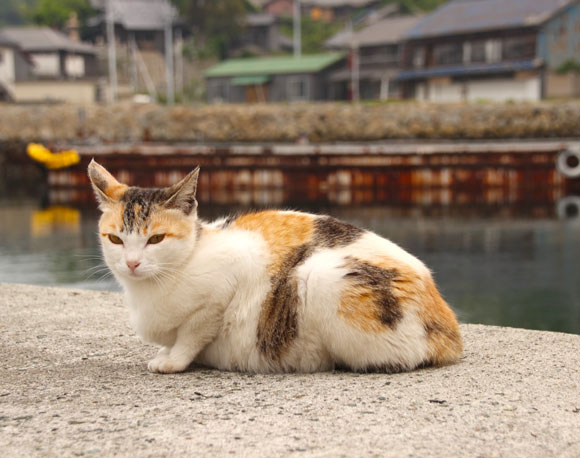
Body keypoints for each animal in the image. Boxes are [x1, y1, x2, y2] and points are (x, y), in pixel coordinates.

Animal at [88, 159, 464, 374]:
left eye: (156, 239)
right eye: (115, 239)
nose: (132, 262)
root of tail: (449, 330)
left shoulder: (231, 274)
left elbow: (194, 332)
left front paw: (172, 360)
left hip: (322, 277)